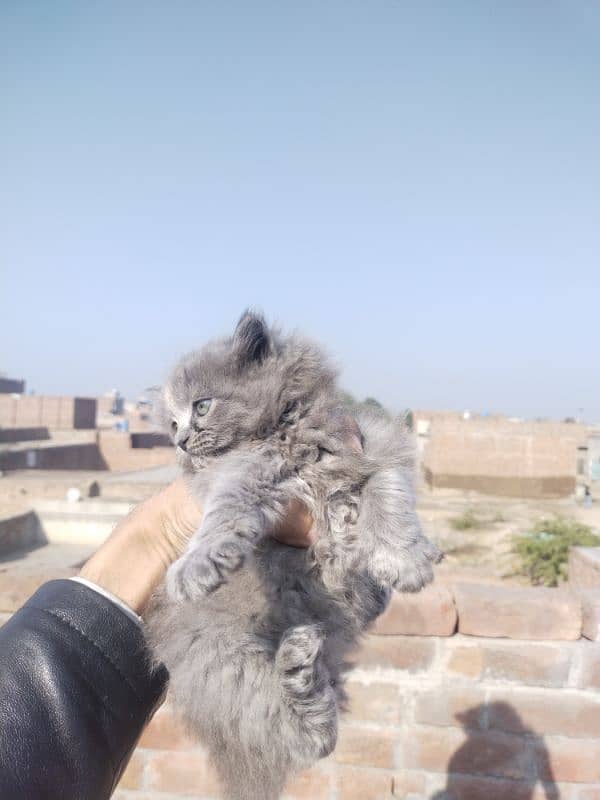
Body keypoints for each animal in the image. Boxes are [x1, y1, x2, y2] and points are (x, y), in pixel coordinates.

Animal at [148, 310, 442, 800]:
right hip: (223, 656)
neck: (286, 432)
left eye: (201, 406)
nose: (182, 441)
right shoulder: (241, 475)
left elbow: (389, 494)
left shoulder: (373, 447)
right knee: (295, 736)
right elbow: (224, 513)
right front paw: (197, 565)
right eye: (171, 424)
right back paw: (297, 671)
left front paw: (404, 559)